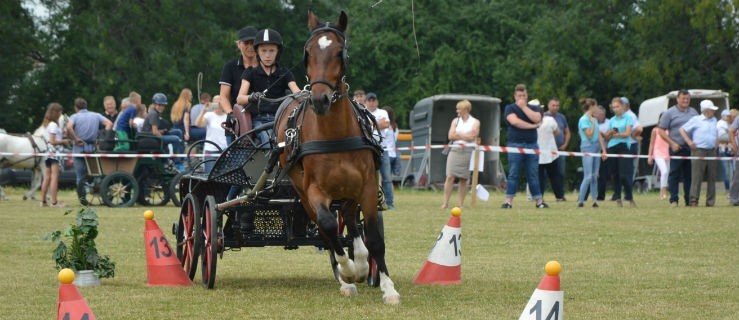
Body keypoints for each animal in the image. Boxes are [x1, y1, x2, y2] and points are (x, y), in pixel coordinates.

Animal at [274, 10, 398, 304]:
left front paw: (387, 287)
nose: (320, 100)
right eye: (307, 52)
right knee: (327, 228)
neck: (334, 135)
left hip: (349, 190)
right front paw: (348, 272)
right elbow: (329, 228)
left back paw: (362, 263)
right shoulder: (315, 191)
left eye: (340, 52)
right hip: (304, 193)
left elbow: (373, 237)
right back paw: (348, 276)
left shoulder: (366, 186)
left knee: (351, 221)